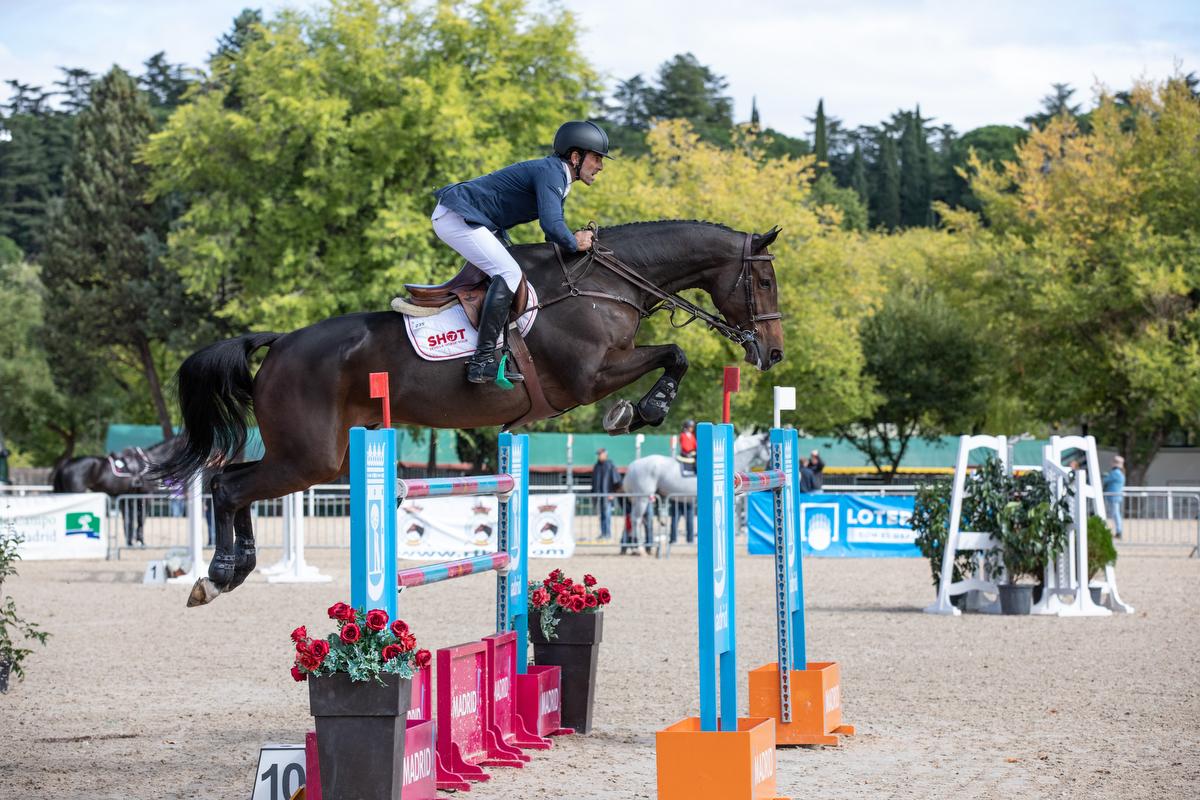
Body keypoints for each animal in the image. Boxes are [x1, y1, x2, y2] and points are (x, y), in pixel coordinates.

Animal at [619, 431, 768, 551]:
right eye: (769, 447)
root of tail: (632, 466)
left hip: (639, 499)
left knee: (636, 519)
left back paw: (635, 547)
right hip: (642, 498)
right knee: (636, 519)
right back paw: (638, 548)